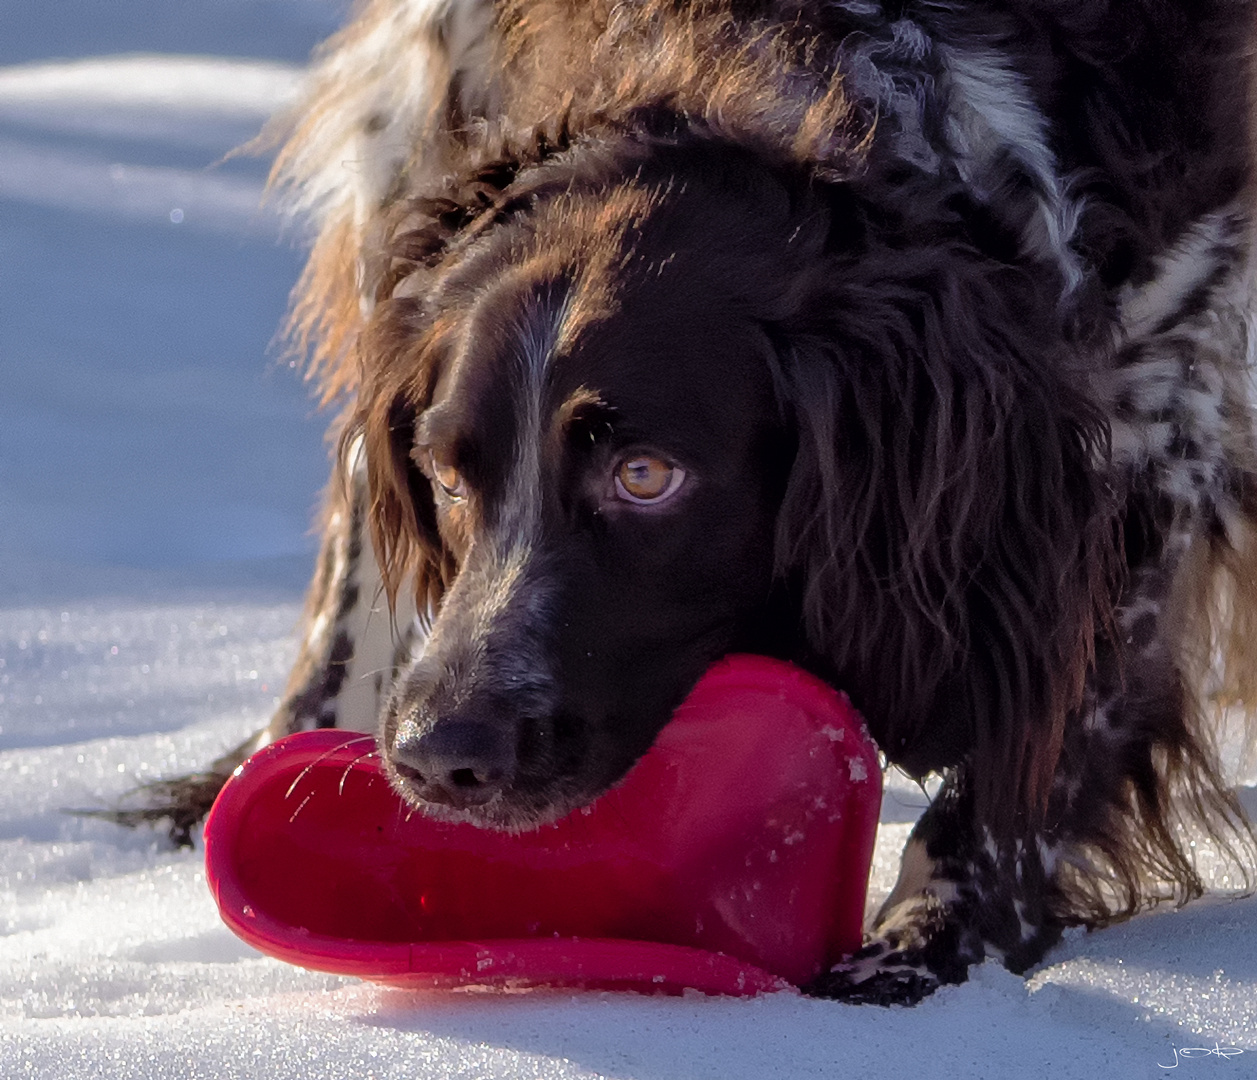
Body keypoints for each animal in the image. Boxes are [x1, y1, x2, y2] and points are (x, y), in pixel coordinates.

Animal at [135, 0, 1257, 1005]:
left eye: (646, 476)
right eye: (448, 476)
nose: (438, 758)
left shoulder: (1163, 382)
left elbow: (1045, 731)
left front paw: (923, 951)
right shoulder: (422, 105)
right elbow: (352, 567)